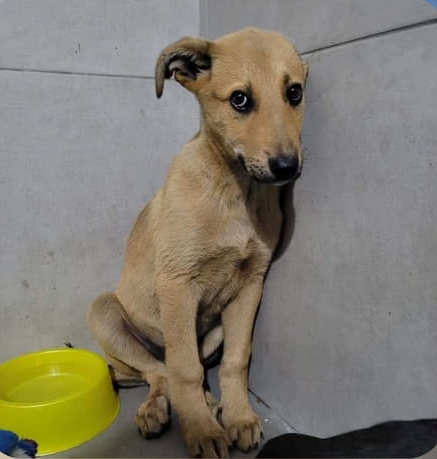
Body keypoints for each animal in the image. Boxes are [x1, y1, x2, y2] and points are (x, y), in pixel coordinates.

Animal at [87, 27, 308, 458]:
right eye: (239, 99)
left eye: (294, 93)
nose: (287, 168)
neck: (236, 191)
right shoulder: (177, 285)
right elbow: (185, 369)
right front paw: (203, 430)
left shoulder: (250, 285)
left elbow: (236, 360)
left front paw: (238, 417)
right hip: (104, 312)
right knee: (160, 369)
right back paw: (162, 409)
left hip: (214, 329)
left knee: (172, 367)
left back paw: (204, 402)